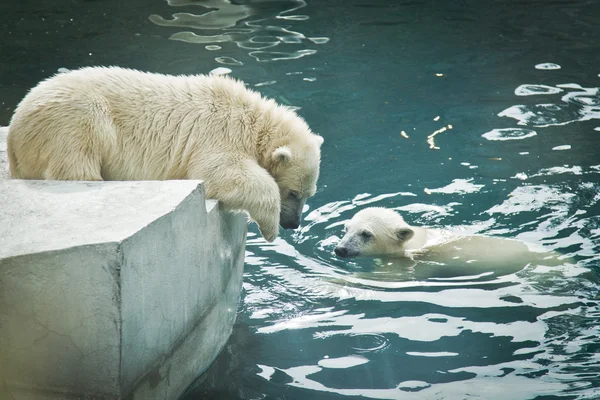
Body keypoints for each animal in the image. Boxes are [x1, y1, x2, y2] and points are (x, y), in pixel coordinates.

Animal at [7, 65, 324, 241]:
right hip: (72, 116)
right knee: (77, 153)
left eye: (309, 194)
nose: (293, 224)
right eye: (293, 193)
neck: (253, 121)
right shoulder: (218, 133)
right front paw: (269, 229)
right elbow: (221, 172)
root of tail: (13, 135)